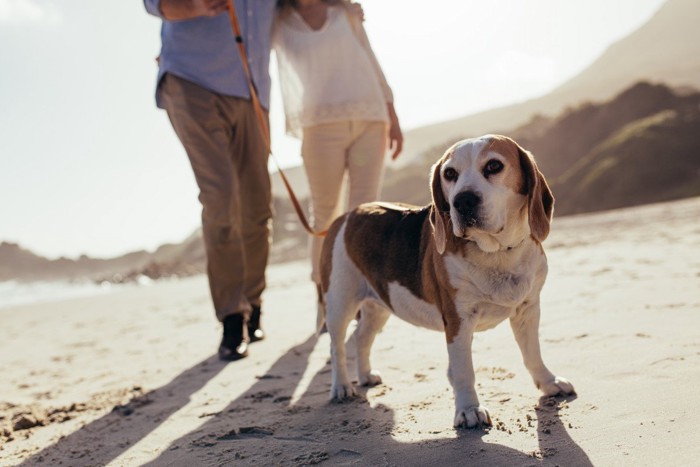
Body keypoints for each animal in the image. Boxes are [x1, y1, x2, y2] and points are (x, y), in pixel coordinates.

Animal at [318, 134, 576, 428]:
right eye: (450, 173)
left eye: (494, 166)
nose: (462, 201)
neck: (496, 252)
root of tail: (347, 215)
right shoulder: (458, 321)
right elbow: (464, 370)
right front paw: (469, 409)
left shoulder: (528, 310)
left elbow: (533, 353)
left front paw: (548, 382)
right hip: (339, 302)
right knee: (336, 346)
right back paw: (341, 386)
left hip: (380, 304)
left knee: (361, 337)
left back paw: (365, 375)